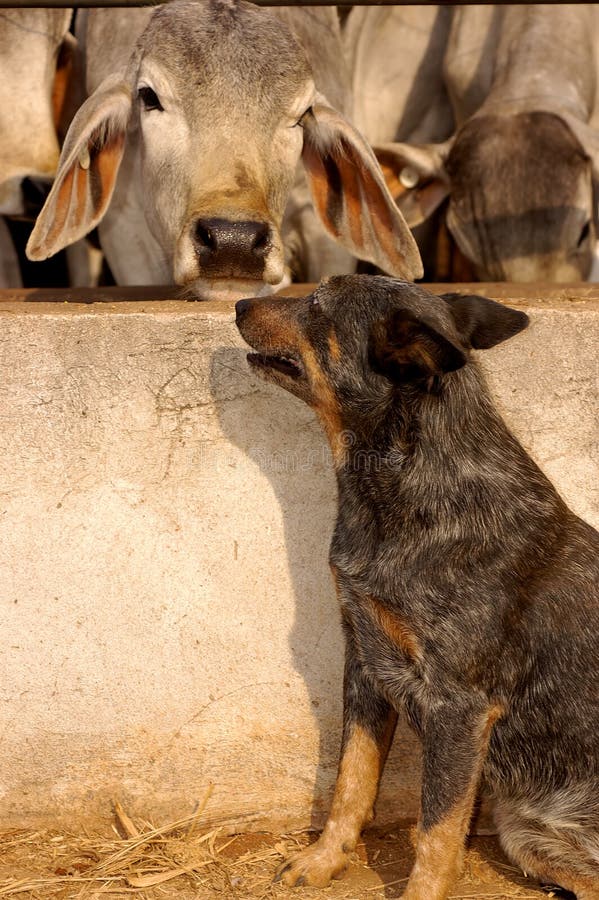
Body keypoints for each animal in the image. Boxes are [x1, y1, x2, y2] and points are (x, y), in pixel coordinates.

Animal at [234, 272, 599, 900]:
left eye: (317, 304)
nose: (237, 302)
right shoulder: (365, 666)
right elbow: (350, 783)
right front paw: (324, 859)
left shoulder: (458, 706)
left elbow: (436, 831)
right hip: (526, 834)